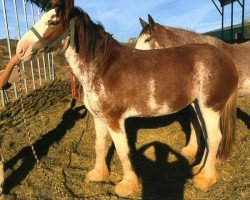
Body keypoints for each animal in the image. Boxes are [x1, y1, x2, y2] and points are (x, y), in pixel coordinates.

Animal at [15, 0, 238, 197]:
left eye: (53, 22)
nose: (20, 50)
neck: (103, 68)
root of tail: (226, 59)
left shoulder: (115, 119)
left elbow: (123, 151)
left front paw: (127, 185)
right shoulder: (98, 118)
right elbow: (99, 146)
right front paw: (98, 174)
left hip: (211, 107)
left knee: (215, 138)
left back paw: (205, 178)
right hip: (198, 105)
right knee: (207, 136)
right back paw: (199, 169)